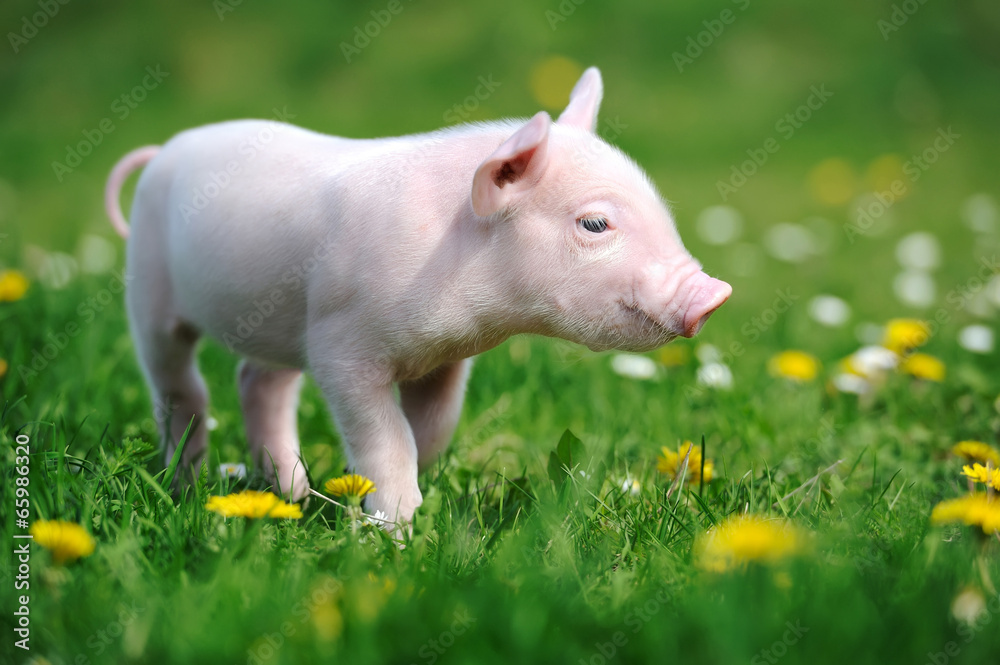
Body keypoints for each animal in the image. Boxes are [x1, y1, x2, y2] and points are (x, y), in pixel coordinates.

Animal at [104, 67, 731, 524]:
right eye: (595, 224)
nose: (715, 293)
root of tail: (164, 151)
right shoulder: (340, 347)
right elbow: (385, 436)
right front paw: (396, 526)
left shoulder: (448, 359)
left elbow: (432, 425)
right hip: (150, 293)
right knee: (181, 388)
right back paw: (187, 485)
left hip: (278, 320)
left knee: (258, 381)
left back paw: (292, 496)